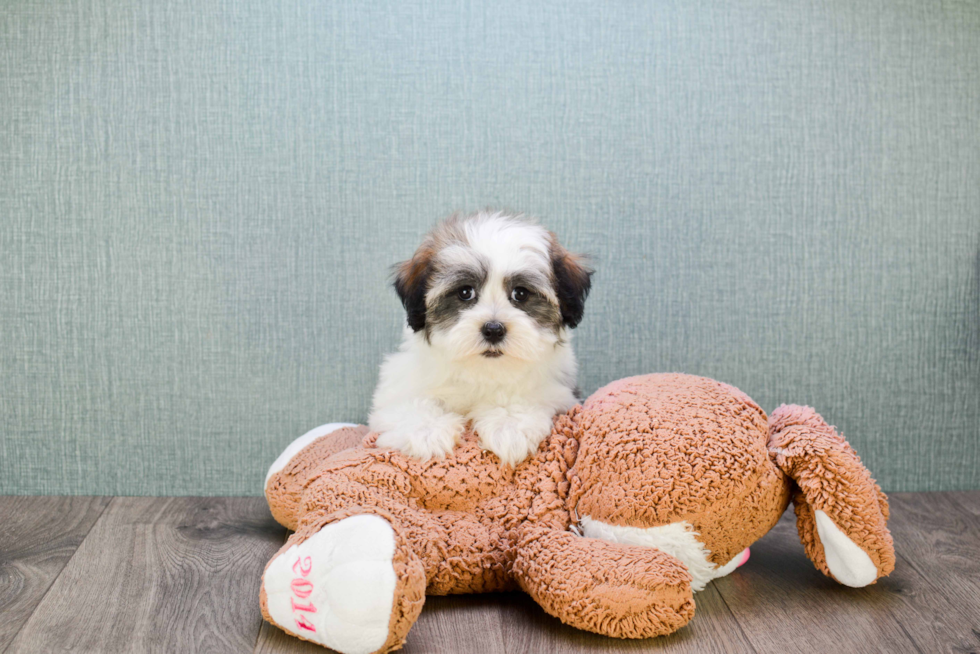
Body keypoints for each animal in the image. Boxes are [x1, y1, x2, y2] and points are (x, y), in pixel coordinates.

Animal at [368, 210, 592, 466]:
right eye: (465, 292)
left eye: (520, 293)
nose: (493, 329)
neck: (481, 370)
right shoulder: (399, 385)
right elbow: (409, 404)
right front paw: (428, 431)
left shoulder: (558, 391)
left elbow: (521, 397)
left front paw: (509, 425)